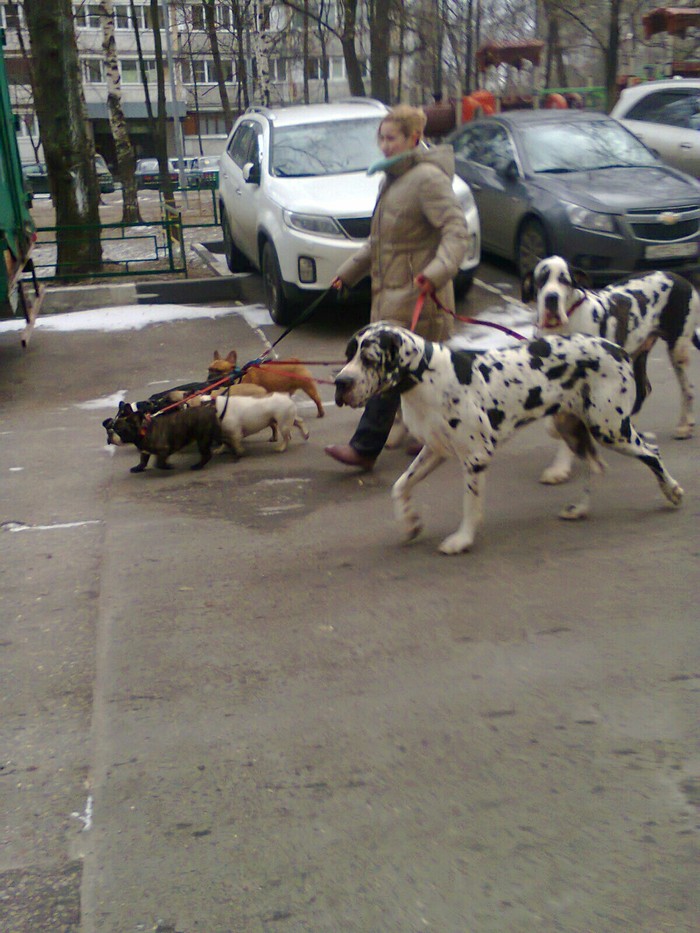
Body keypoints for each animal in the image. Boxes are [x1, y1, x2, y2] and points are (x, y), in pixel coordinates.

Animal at [334, 322, 684, 552]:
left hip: (609, 428)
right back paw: (580, 509)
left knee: (652, 453)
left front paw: (462, 540)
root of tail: (619, 349)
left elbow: (470, 505)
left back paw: (672, 492)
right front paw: (409, 523)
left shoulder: (475, 457)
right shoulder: (435, 450)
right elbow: (400, 486)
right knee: (598, 466)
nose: (340, 383)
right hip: (572, 427)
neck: (425, 377)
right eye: (348, 354)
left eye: (369, 358)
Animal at [524, 258, 696, 484]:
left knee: (688, 388)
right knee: (643, 390)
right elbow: (555, 422)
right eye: (541, 279)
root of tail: (679, 277)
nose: (551, 298)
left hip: (678, 350)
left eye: (564, 280)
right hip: (636, 353)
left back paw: (686, 426)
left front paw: (559, 468)